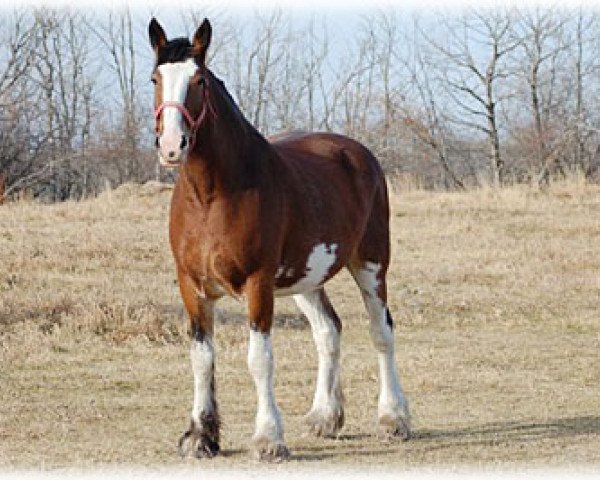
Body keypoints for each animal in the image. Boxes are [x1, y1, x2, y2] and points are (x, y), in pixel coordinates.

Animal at [149, 17, 410, 462]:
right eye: (155, 78)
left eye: (198, 81)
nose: (171, 146)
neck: (213, 196)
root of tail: (359, 153)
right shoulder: (192, 286)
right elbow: (202, 358)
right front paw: (201, 436)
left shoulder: (257, 283)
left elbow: (259, 359)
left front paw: (268, 439)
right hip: (306, 278)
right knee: (329, 330)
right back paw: (325, 417)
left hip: (371, 264)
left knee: (382, 331)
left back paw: (394, 417)